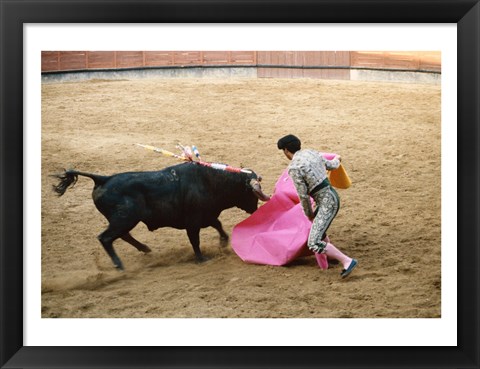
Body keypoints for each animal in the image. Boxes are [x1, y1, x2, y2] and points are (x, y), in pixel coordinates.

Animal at [53, 162, 270, 268]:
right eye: (251, 193)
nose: (257, 209)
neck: (212, 181)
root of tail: (103, 179)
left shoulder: (206, 215)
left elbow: (218, 225)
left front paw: (223, 242)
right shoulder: (193, 222)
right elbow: (196, 240)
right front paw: (201, 259)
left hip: (123, 220)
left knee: (122, 235)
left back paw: (145, 249)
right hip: (125, 218)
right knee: (106, 238)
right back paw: (119, 265)